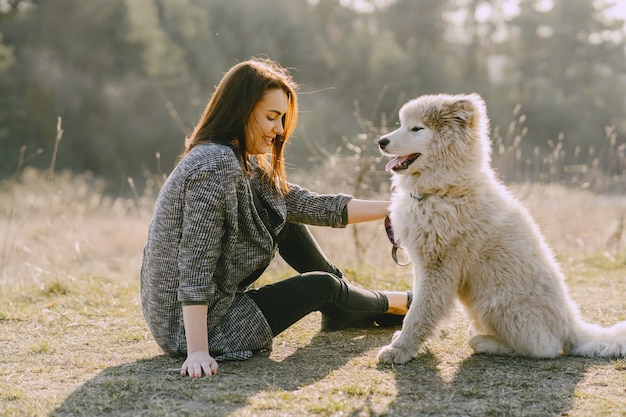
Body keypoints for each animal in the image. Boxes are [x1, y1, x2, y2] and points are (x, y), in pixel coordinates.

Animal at [376, 92, 624, 362]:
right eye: (401, 124)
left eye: (417, 128)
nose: (381, 141)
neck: (444, 190)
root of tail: (571, 325)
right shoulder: (422, 265)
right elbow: (420, 308)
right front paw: (403, 343)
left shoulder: (438, 267)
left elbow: (420, 312)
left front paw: (400, 350)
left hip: (495, 304)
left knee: (543, 348)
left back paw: (485, 342)